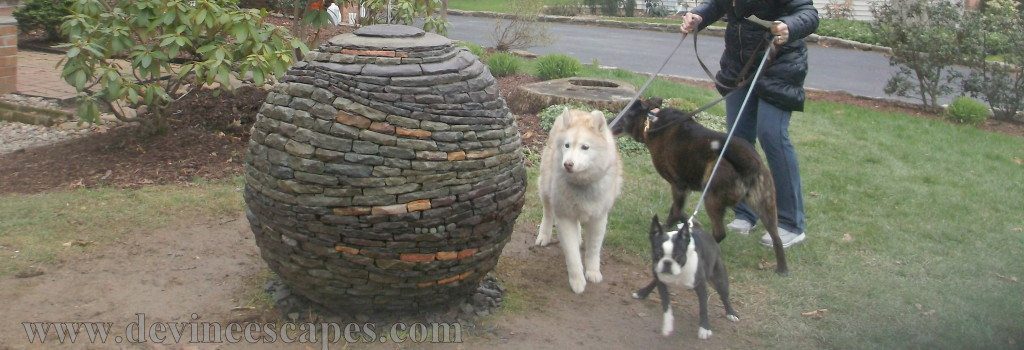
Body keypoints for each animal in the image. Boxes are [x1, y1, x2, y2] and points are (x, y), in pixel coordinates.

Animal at [536, 107, 622, 294]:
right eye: (567, 145)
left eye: (585, 147)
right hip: (546, 189)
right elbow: (572, 254)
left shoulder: (598, 218)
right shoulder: (564, 217)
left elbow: (593, 250)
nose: (568, 164)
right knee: (547, 213)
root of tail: (578, 110)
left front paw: (593, 272)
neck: (581, 185)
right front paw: (577, 281)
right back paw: (544, 235)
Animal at [610, 97, 786, 274]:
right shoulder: (683, 188)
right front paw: (690, 224)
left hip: (711, 196)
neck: (651, 121)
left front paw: (669, 229)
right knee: (776, 238)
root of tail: (750, 164)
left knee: (719, 233)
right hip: (765, 204)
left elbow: (676, 212)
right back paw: (782, 269)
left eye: (623, 111)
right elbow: (681, 213)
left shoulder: (679, 186)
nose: (609, 121)